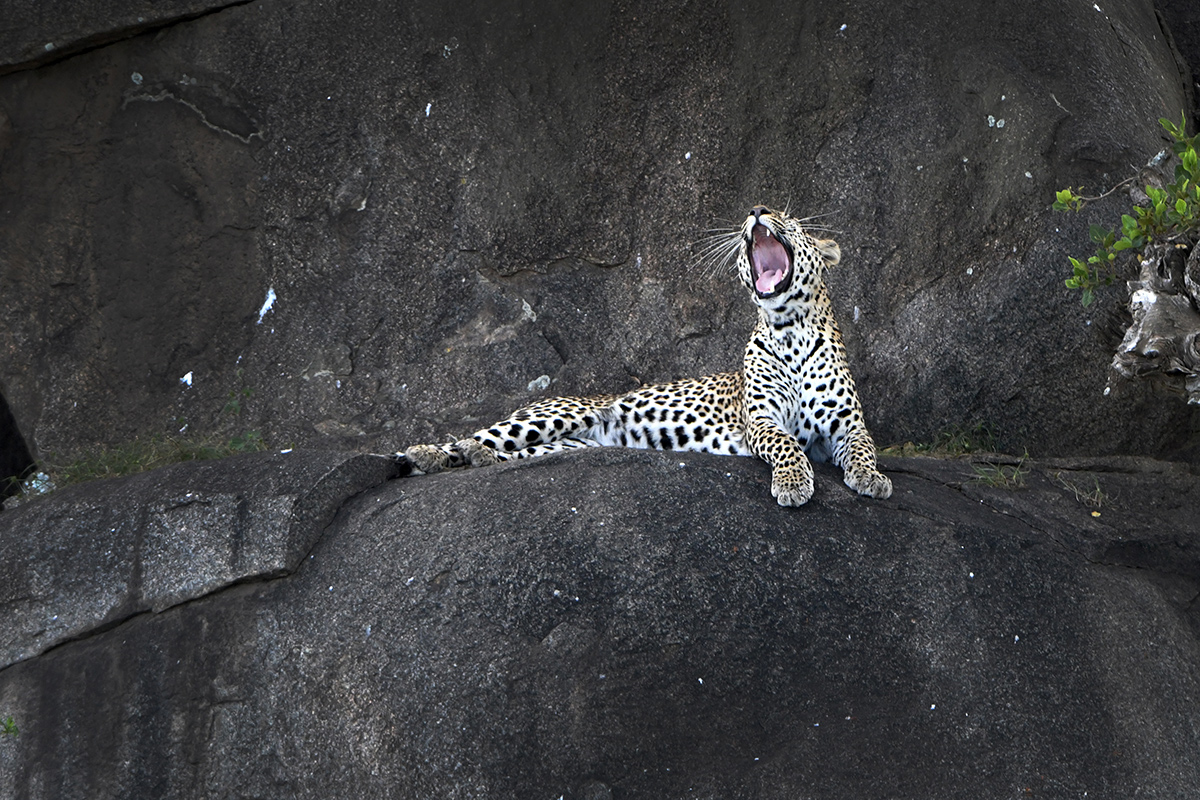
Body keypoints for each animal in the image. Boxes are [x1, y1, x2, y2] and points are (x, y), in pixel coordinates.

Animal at [393, 206, 892, 506]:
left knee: (516, 455)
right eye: (763, 210)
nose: (757, 210)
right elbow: (786, 444)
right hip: (552, 414)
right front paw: (792, 483)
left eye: (788, 215)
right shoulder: (762, 420)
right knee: (480, 437)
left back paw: (471, 457)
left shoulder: (848, 424)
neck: (791, 330)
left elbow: (864, 448)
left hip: (570, 443)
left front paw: (871, 478)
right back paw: (430, 452)